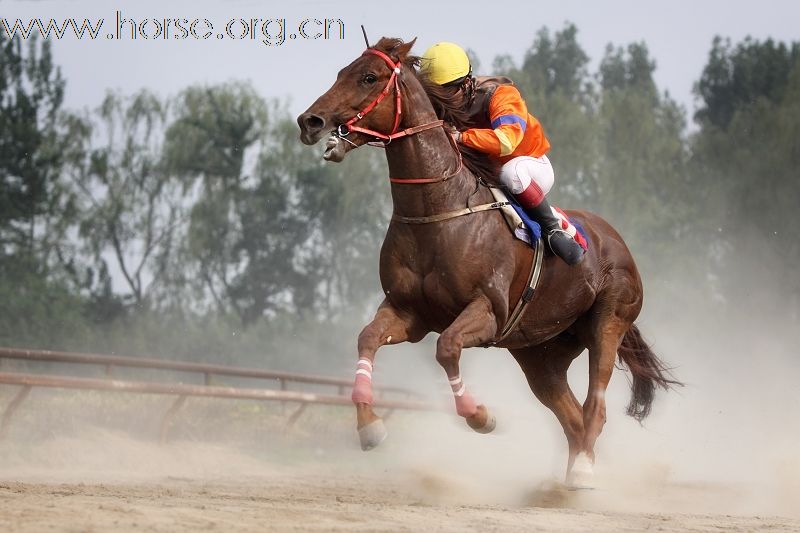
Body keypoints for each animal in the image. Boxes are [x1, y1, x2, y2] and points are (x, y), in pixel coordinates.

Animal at [296, 36, 680, 486]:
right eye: (342, 72)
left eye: (368, 77)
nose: (310, 121)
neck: (438, 210)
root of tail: (616, 241)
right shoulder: (409, 312)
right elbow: (368, 338)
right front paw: (369, 426)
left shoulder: (487, 310)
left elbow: (446, 348)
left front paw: (479, 416)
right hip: (541, 352)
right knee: (571, 418)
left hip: (608, 321)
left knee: (594, 407)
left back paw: (583, 472)